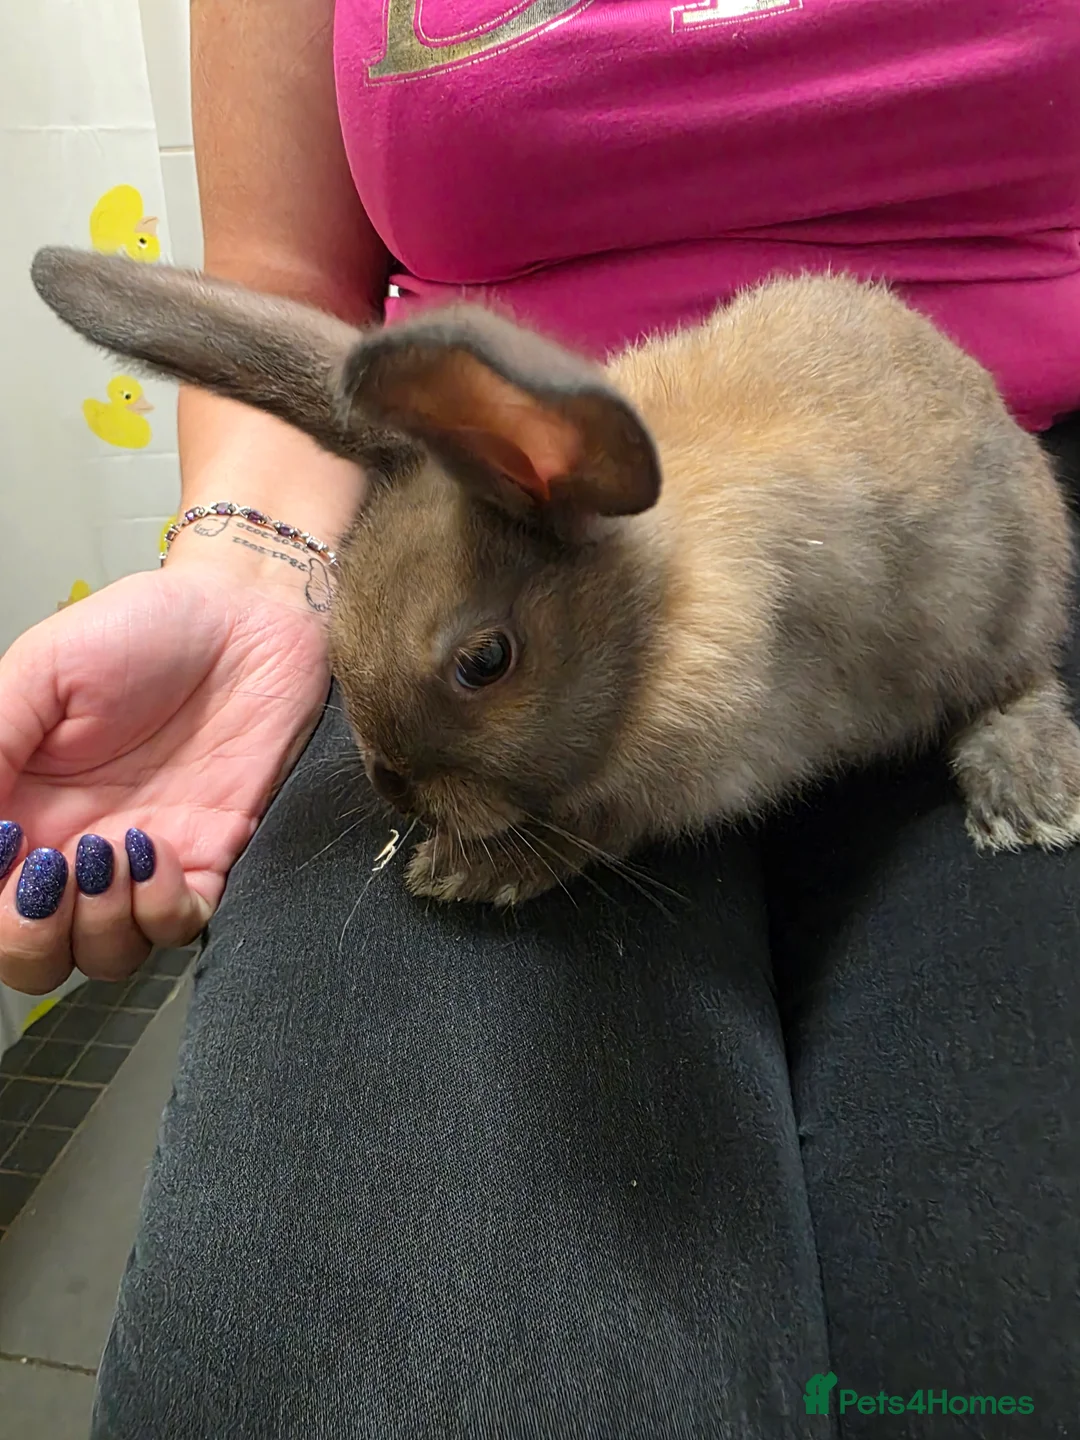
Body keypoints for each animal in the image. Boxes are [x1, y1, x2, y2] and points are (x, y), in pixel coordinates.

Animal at [30, 245, 1080, 905]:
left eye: (485, 663)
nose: (393, 788)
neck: (654, 618)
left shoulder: (713, 761)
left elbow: (599, 824)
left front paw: (467, 871)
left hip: (1006, 605)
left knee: (1019, 682)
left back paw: (1030, 799)